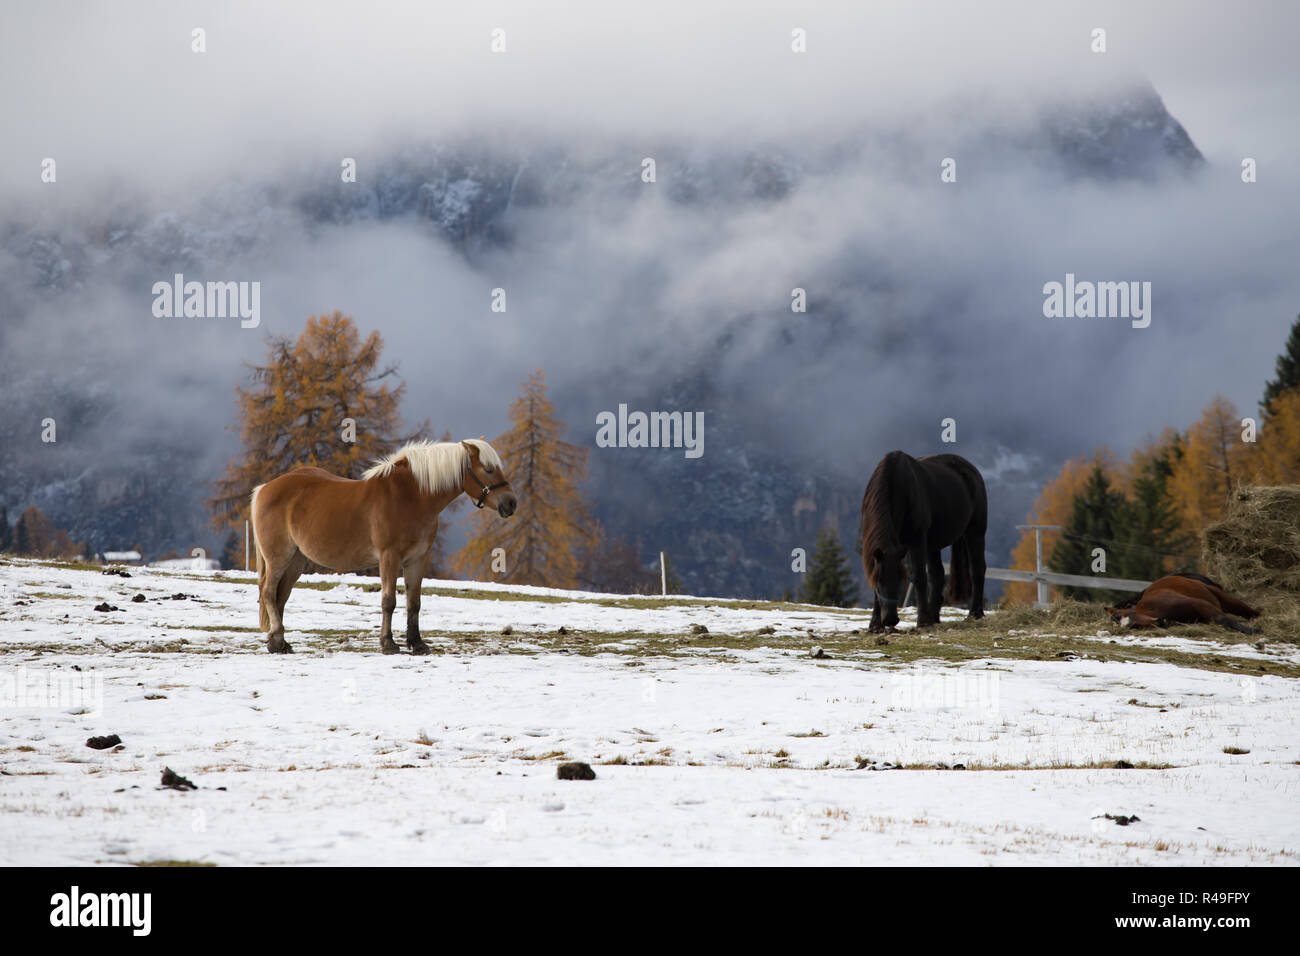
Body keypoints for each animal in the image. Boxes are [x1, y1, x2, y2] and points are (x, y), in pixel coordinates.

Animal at [250, 438, 516, 655]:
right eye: (488, 469)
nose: (511, 503)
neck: (411, 497)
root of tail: (264, 488)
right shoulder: (390, 556)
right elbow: (389, 601)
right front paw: (388, 643)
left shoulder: (417, 559)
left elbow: (414, 603)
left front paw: (417, 644)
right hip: (278, 557)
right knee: (268, 592)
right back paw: (277, 642)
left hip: (296, 560)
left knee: (280, 595)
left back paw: (279, 642)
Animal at [859, 450, 987, 632]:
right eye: (879, 581)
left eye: (901, 580)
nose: (890, 619)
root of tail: (972, 470)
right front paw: (874, 625)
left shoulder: (917, 539)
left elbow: (919, 577)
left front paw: (922, 621)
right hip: (933, 544)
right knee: (938, 574)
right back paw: (934, 616)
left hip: (975, 532)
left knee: (977, 569)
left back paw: (975, 613)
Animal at [1106, 573, 1260, 634]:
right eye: (1133, 627)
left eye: (1131, 617)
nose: (1159, 622)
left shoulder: (1201, 605)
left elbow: (1224, 619)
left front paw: (1252, 631)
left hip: (1225, 599)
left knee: (1249, 612)